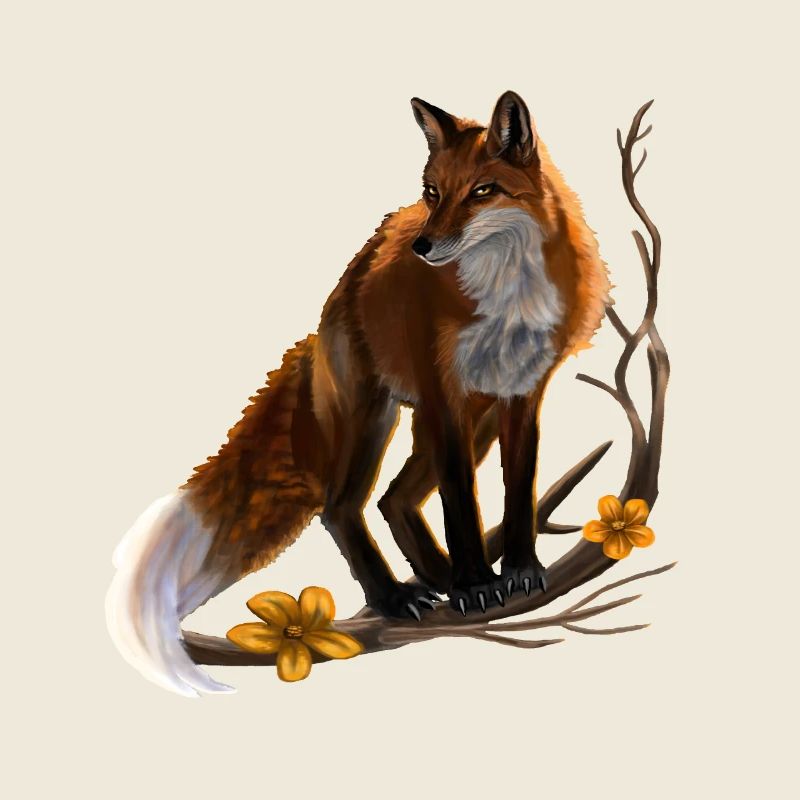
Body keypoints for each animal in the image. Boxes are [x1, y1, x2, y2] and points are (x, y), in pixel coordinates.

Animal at [106, 91, 610, 695]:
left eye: (482, 191)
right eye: (433, 192)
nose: (422, 246)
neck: (507, 296)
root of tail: (336, 299)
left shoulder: (521, 395)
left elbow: (518, 491)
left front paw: (518, 571)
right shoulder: (444, 395)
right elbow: (461, 504)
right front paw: (473, 585)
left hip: (471, 418)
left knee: (393, 498)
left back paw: (435, 578)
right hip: (376, 418)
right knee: (341, 507)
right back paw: (395, 596)